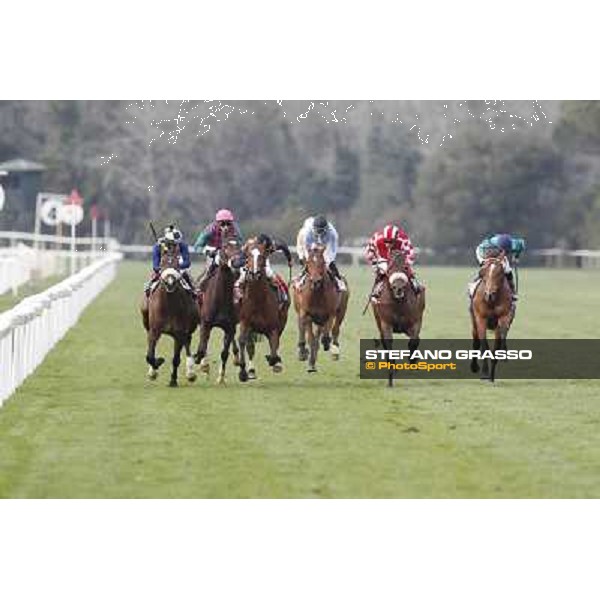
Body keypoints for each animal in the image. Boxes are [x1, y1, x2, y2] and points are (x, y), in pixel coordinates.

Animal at [139, 240, 198, 386]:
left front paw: (173, 380)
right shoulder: (154, 330)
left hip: (189, 328)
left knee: (187, 343)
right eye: (163, 262)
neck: (169, 305)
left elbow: (176, 358)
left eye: (177, 263)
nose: (170, 281)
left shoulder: (179, 332)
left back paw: (191, 373)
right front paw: (156, 366)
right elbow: (150, 355)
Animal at [193, 237, 243, 382]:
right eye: (224, 247)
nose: (236, 262)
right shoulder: (206, 323)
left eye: (239, 247)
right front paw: (202, 363)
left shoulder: (230, 326)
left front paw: (221, 377)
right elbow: (202, 346)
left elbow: (224, 353)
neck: (221, 299)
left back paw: (237, 359)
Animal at [236, 237, 290, 382]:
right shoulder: (245, 322)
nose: (254, 273)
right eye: (248, 255)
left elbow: (274, 346)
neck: (258, 299)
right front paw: (243, 371)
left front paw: (275, 362)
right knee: (250, 346)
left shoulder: (273, 327)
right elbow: (242, 341)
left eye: (263, 255)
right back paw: (251, 370)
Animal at [370, 250, 426, 386]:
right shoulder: (386, 323)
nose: (398, 288)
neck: (398, 303)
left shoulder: (415, 322)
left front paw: (413, 362)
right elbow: (388, 343)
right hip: (379, 321)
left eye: (405, 267)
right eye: (390, 268)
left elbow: (413, 342)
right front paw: (391, 372)